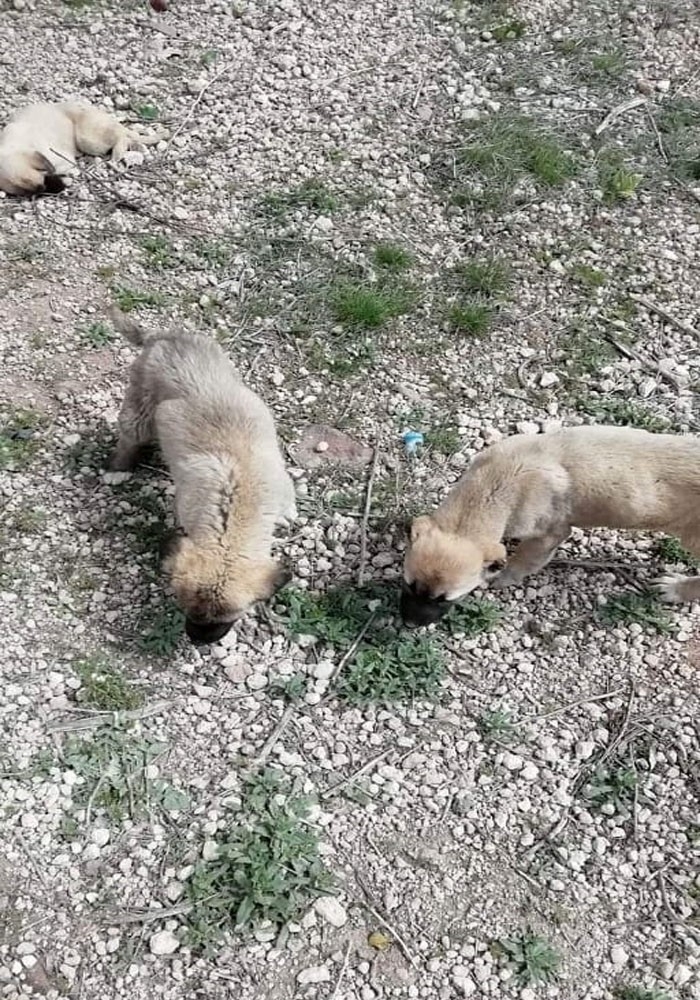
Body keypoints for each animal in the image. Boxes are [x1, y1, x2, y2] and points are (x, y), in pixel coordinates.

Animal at [0, 101, 160, 197]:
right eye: (23, 192)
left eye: (39, 178)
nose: (43, 190)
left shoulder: (62, 159)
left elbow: (57, 169)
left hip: (88, 139)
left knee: (121, 137)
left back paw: (116, 155)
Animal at [108, 308, 296, 644]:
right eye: (187, 610)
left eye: (228, 618)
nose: (198, 640)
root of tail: (163, 337)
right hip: (140, 410)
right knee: (129, 436)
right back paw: (119, 467)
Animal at [400, 426, 700, 628]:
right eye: (410, 585)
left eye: (445, 599)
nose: (410, 624)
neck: (498, 482)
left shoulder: (548, 535)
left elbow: (522, 561)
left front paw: (503, 577)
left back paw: (675, 589)